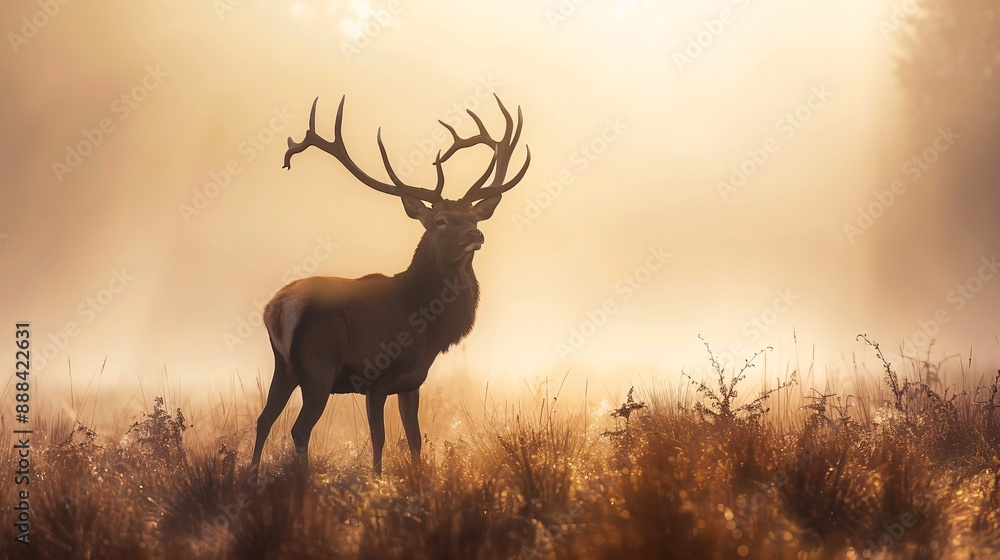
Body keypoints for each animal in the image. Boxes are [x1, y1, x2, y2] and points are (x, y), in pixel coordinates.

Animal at [249, 94, 529, 478]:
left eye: (473, 216)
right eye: (441, 220)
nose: (475, 234)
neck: (427, 323)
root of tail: (277, 308)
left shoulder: (411, 382)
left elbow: (415, 440)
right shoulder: (377, 374)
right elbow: (379, 440)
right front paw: (378, 482)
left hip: (285, 367)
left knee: (263, 420)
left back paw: (250, 478)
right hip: (319, 365)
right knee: (299, 429)